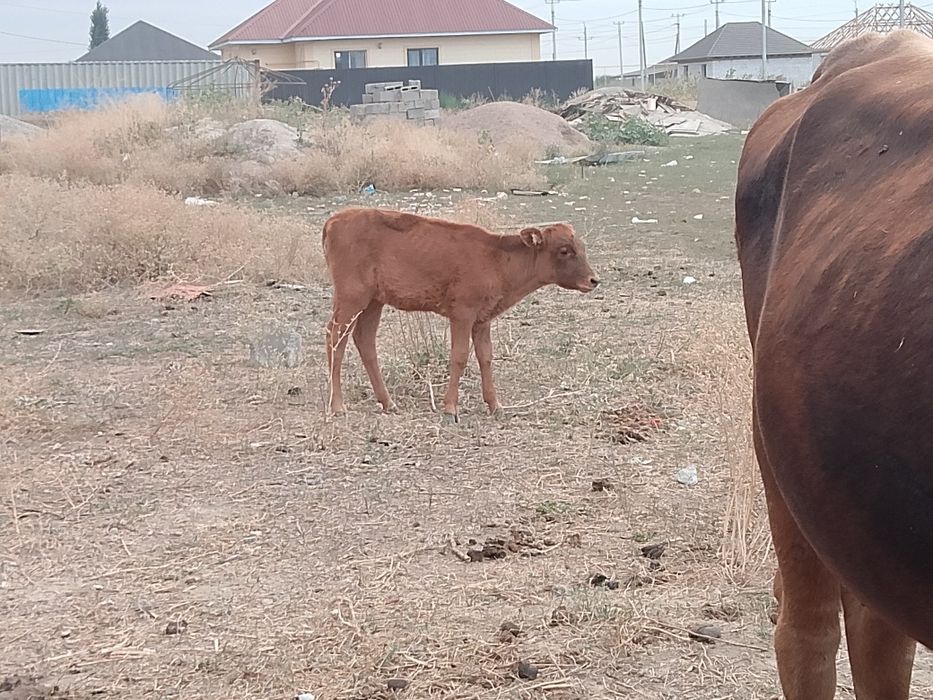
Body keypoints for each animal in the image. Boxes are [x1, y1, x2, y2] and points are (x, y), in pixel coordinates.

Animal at [322, 208, 599, 420]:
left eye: (582, 247)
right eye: (564, 250)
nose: (593, 280)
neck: (496, 259)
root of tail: (336, 219)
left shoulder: (482, 319)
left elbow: (485, 357)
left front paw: (495, 406)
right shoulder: (462, 315)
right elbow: (460, 356)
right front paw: (450, 408)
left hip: (373, 302)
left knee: (365, 340)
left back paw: (388, 403)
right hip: (351, 298)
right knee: (336, 338)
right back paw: (337, 405)